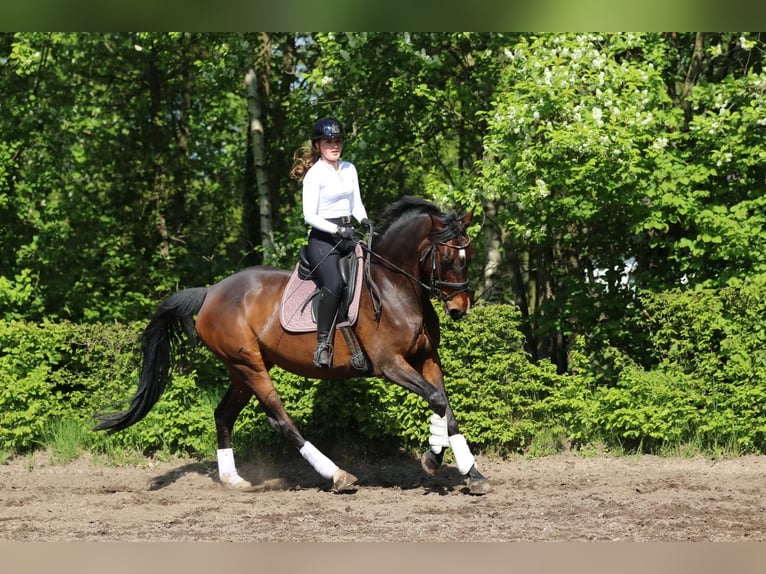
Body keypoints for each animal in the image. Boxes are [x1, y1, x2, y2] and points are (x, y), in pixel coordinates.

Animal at [95, 197, 488, 495]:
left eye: (469, 255)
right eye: (447, 257)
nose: (460, 308)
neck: (395, 286)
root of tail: (209, 292)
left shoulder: (427, 359)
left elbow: (446, 406)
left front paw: (472, 473)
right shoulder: (390, 364)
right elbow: (437, 400)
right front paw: (432, 460)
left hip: (242, 369)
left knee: (223, 414)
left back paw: (233, 479)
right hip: (250, 366)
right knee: (280, 419)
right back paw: (337, 475)